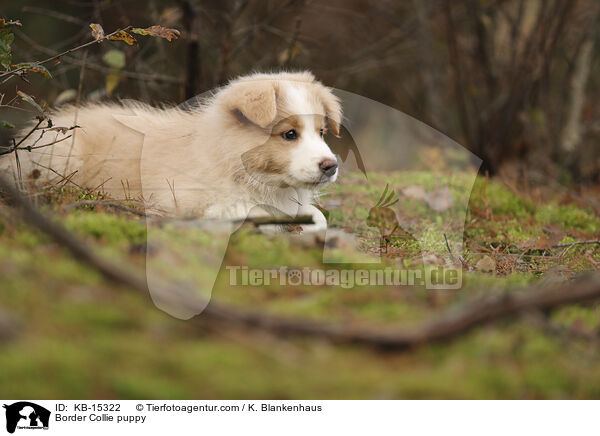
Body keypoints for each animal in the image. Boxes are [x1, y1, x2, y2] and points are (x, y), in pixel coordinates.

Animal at [1, 70, 342, 232]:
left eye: (322, 132)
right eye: (289, 134)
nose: (331, 165)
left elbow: (317, 216)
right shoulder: (180, 199)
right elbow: (246, 210)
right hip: (63, 156)